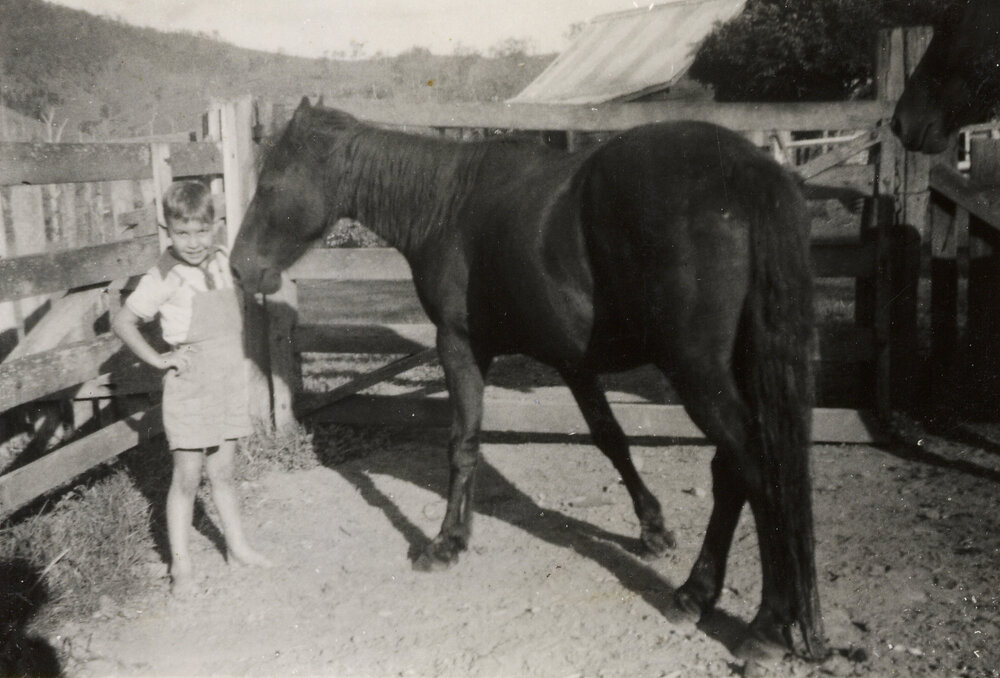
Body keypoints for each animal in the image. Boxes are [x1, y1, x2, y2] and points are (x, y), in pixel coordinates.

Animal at [231, 98, 825, 663]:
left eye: (271, 184)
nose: (239, 268)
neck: (448, 205)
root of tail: (746, 168)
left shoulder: (459, 346)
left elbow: (463, 443)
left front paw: (447, 542)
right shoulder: (569, 360)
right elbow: (609, 438)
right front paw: (652, 528)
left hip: (697, 374)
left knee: (758, 469)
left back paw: (767, 625)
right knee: (732, 471)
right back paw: (695, 595)